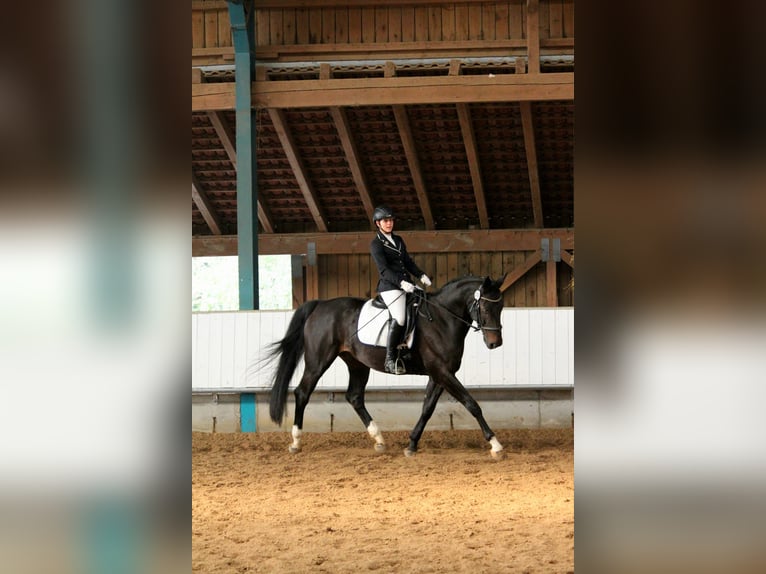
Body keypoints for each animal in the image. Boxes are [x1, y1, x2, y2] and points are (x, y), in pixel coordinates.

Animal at [268, 274, 508, 460]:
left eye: (501, 306)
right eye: (485, 306)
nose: (495, 343)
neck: (442, 319)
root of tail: (320, 305)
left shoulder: (440, 374)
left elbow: (427, 408)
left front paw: (411, 444)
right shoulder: (442, 371)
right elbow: (471, 404)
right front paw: (495, 445)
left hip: (357, 363)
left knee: (354, 397)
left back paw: (379, 440)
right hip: (318, 361)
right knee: (302, 393)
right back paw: (296, 442)